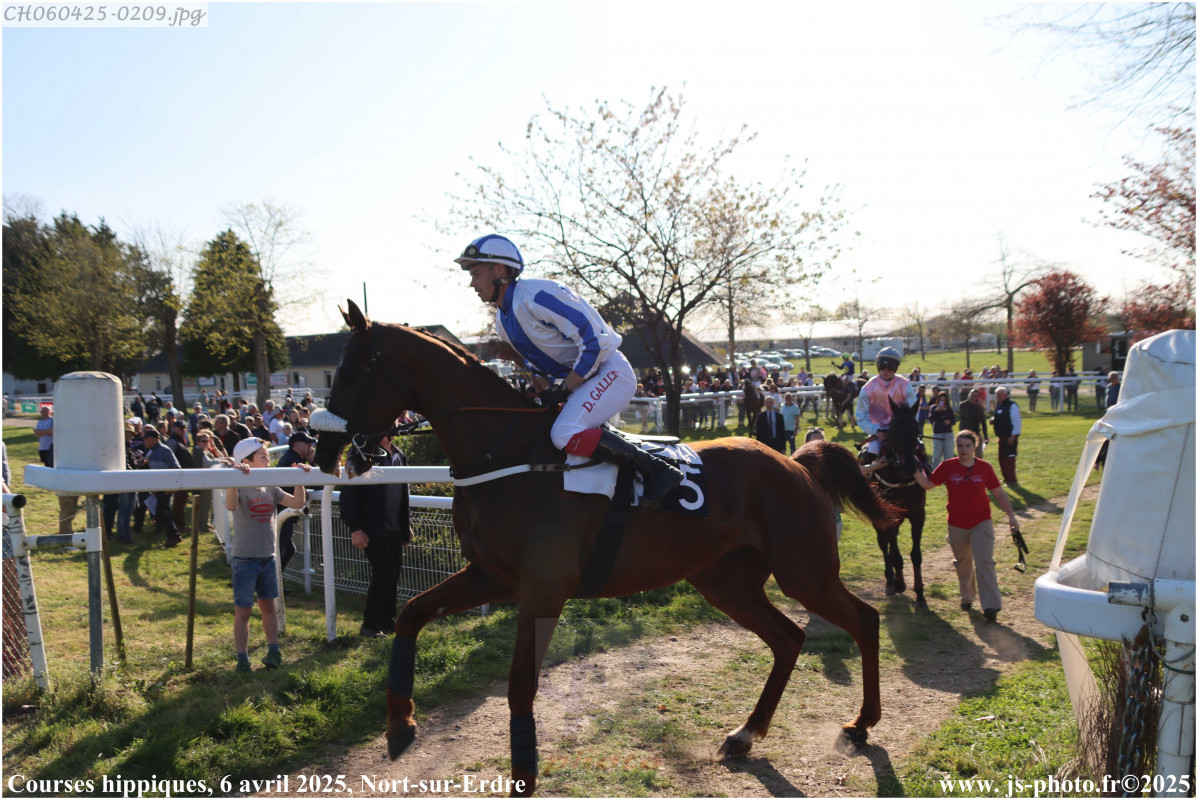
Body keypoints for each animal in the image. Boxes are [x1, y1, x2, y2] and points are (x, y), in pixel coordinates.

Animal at [313, 300, 895, 797]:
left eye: (350, 370)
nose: (326, 451)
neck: (506, 454)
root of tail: (796, 463)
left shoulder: (543, 589)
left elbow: (520, 682)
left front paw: (524, 771)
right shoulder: (492, 576)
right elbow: (411, 612)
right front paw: (399, 721)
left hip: (804, 572)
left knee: (863, 620)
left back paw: (862, 724)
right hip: (725, 581)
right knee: (789, 638)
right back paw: (745, 734)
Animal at [861, 399, 928, 608]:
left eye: (916, 429)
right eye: (892, 429)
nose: (909, 467)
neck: (899, 478)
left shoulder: (918, 514)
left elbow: (916, 554)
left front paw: (920, 593)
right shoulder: (888, 515)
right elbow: (896, 556)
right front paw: (898, 583)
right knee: (884, 544)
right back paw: (890, 580)